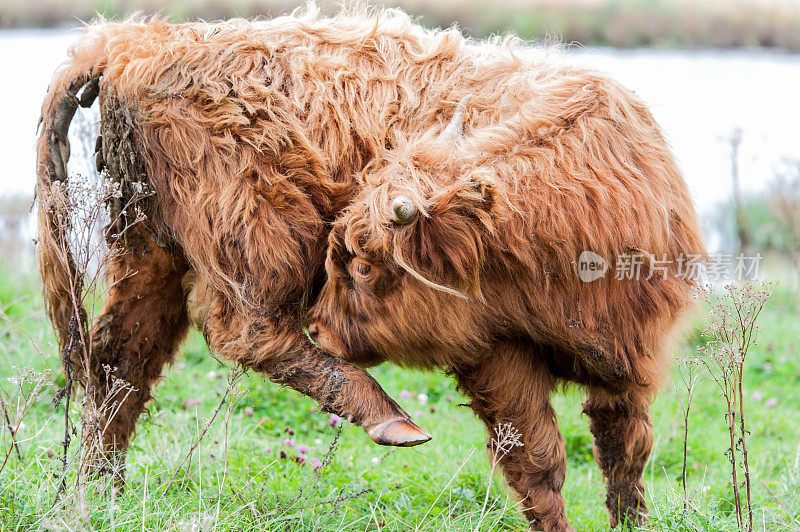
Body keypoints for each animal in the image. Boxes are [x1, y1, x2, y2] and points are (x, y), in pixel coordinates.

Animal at [306, 79, 708, 528]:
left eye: (362, 267)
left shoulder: (631, 358)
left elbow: (624, 451)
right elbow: (536, 461)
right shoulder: (499, 354)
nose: (316, 327)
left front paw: (629, 522)